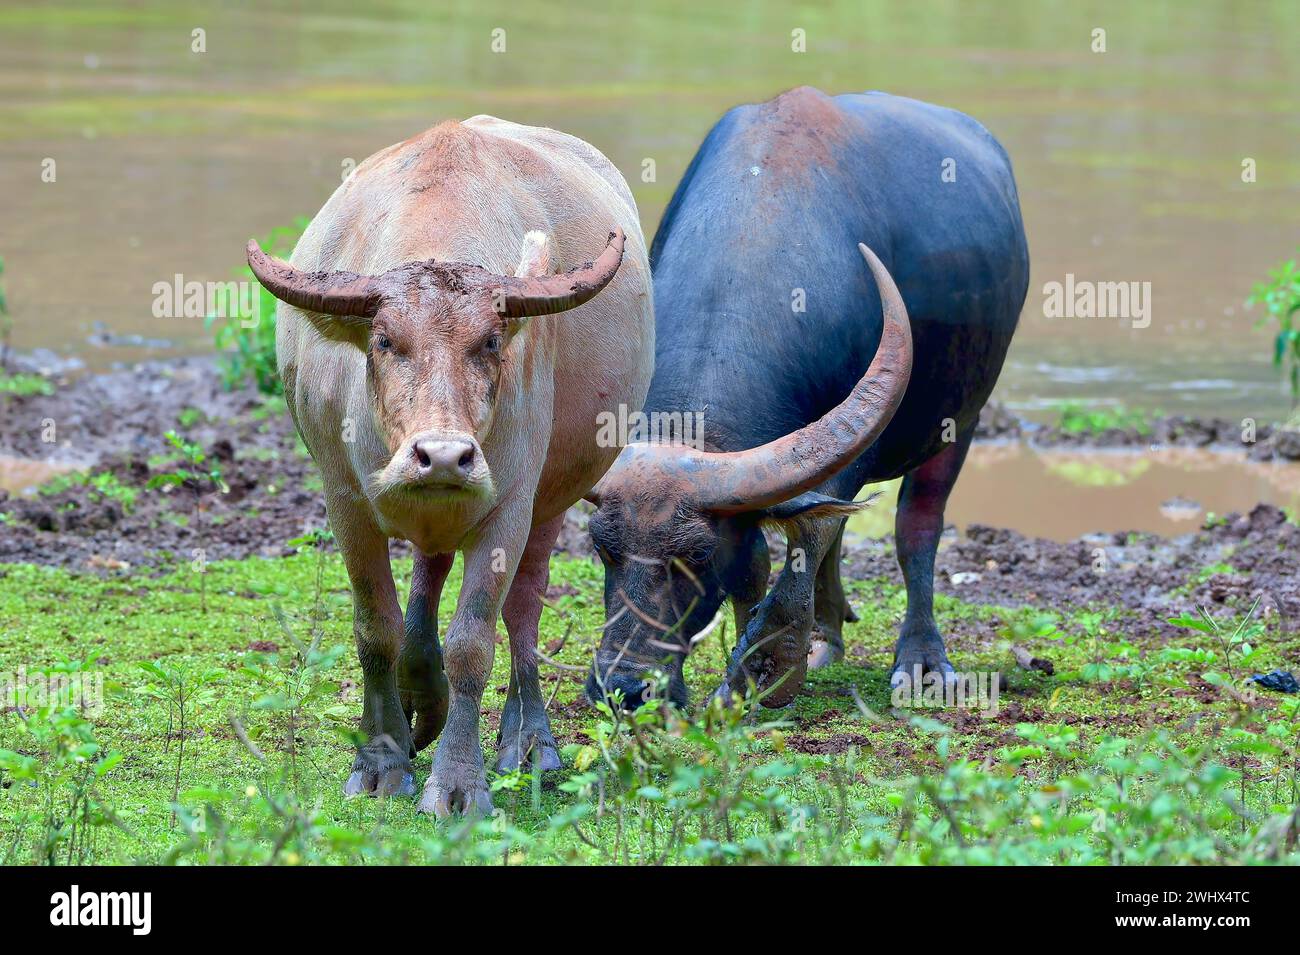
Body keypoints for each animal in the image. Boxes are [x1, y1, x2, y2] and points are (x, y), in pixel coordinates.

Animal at [585, 85, 1029, 706]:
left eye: (696, 557)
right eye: (603, 549)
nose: (623, 686)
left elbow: (812, 538)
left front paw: (763, 668)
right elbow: (769, 553)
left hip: (959, 423)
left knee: (915, 526)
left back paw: (920, 658)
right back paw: (827, 634)